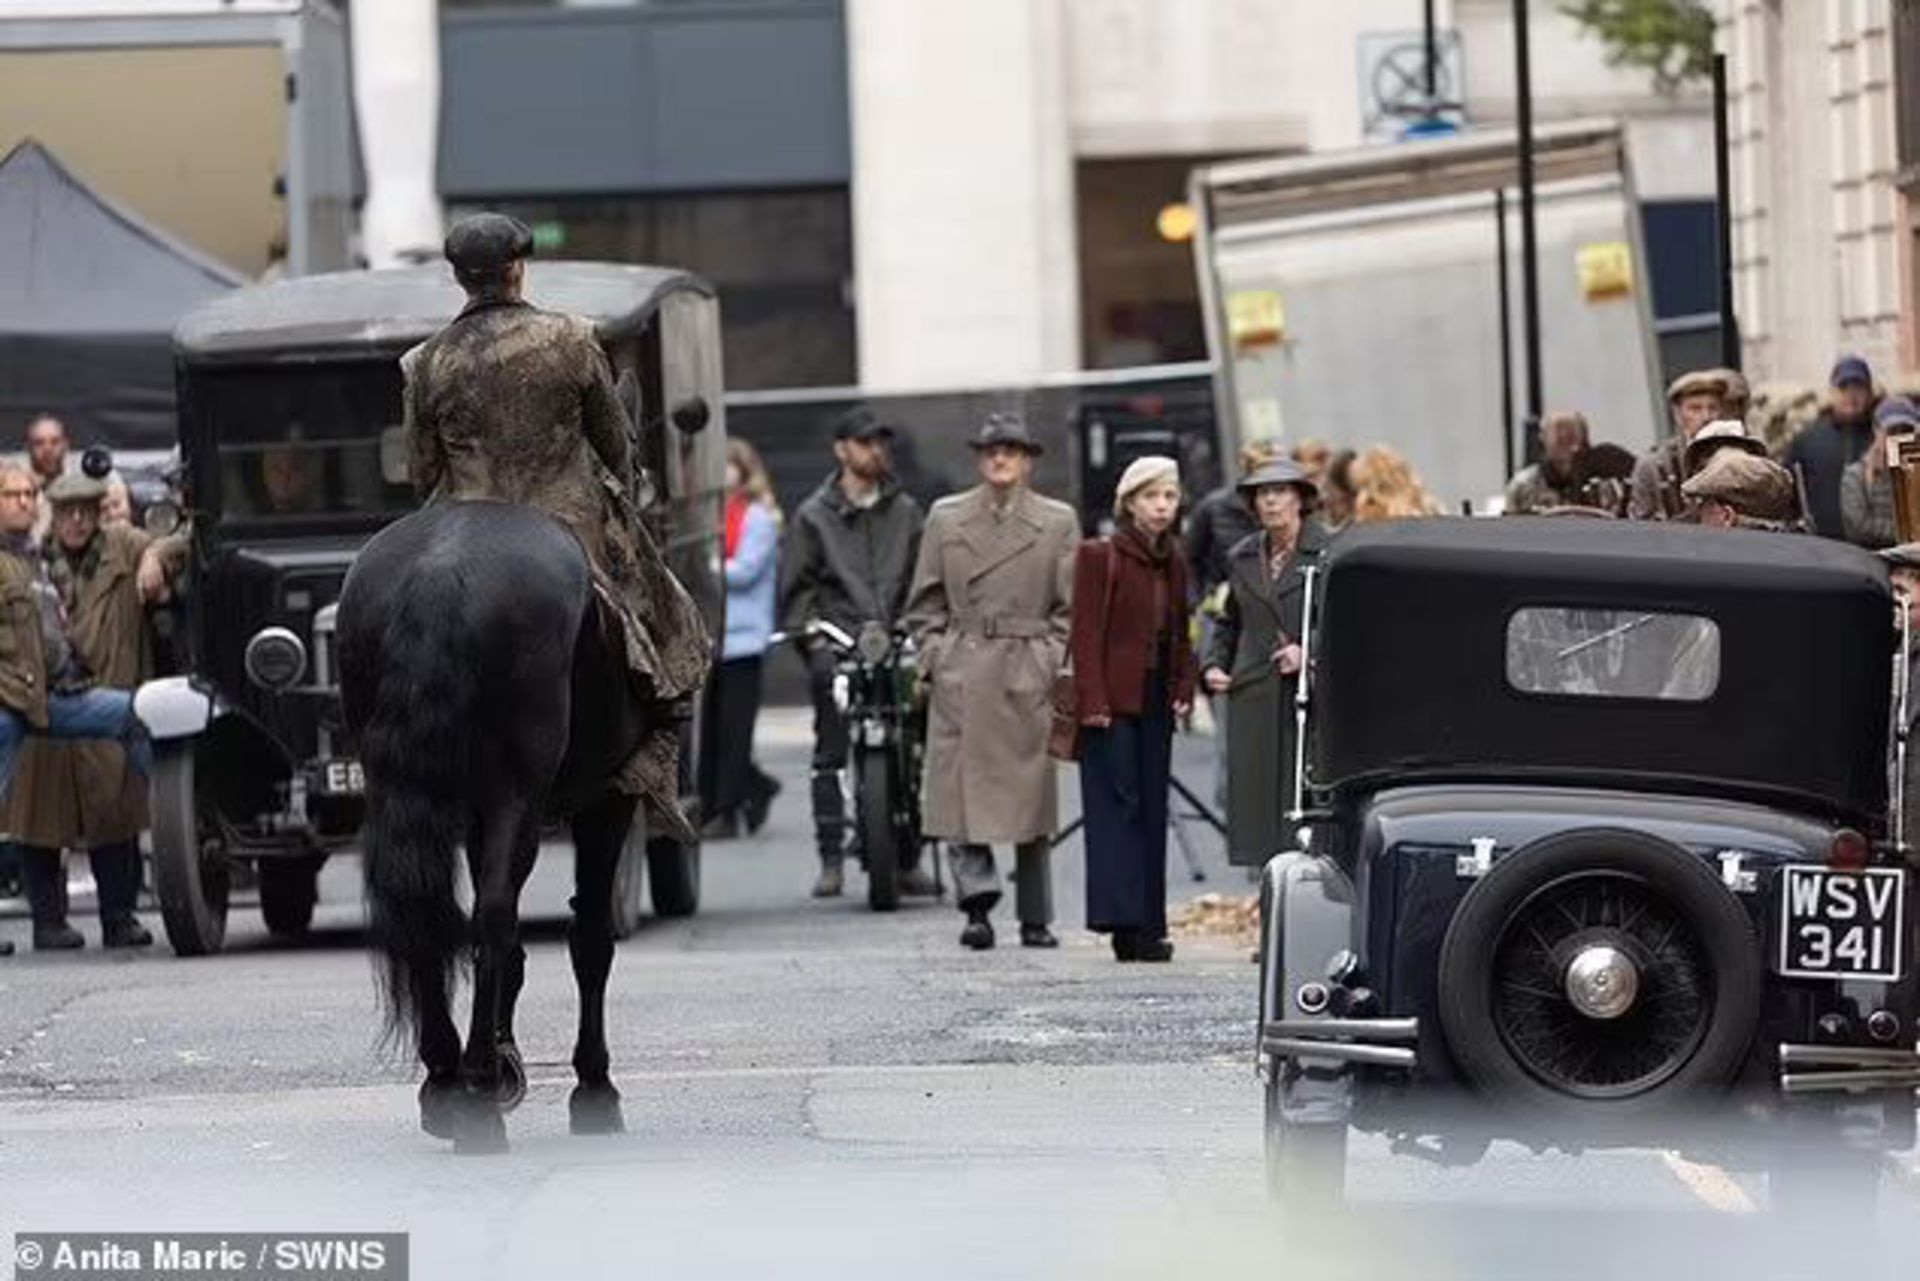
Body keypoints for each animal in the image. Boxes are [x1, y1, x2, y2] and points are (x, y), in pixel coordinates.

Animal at [341, 499, 648, 1152]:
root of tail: (437, 570)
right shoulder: (613, 794)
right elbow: (591, 936)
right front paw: (594, 1089)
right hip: (518, 790)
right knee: (494, 912)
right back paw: (479, 1098)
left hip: (401, 784)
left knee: (426, 913)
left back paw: (446, 1079)